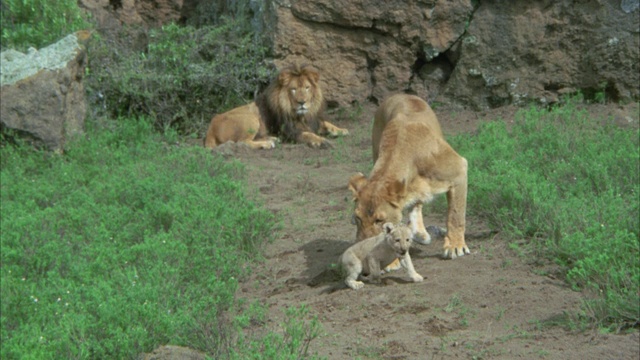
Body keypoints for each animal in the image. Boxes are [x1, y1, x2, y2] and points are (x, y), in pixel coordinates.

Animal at [204, 63, 344, 149]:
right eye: (293, 89)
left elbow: (326, 123)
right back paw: (267, 144)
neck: (301, 116)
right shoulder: (290, 132)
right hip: (251, 118)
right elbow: (308, 135)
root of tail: (210, 128)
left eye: (307, 87)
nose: (302, 102)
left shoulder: (313, 121)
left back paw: (271, 139)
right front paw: (323, 141)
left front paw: (341, 130)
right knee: (242, 142)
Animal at [348, 93, 468, 258]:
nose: (362, 249)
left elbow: (456, 214)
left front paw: (455, 246)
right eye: (358, 218)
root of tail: (401, 94)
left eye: (379, 220)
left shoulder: (459, 170)